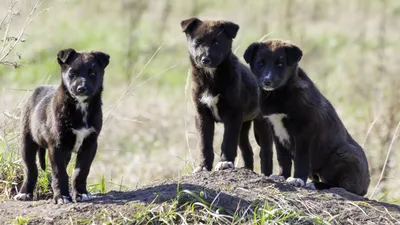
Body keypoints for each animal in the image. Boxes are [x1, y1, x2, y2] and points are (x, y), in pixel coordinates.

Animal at [14, 48, 109, 203]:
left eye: (93, 73)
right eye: (72, 73)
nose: (81, 88)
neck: (80, 106)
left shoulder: (90, 144)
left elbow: (81, 171)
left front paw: (81, 193)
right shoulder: (56, 145)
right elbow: (59, 173)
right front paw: (62, 197)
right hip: (26, 141)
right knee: (30, 169)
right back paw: (24, 193)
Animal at [181, 18, 276, 176]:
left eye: (216, 42)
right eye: (198, 42)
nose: (205, 59)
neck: (211, 76)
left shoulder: (233, 115)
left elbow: (228, 141)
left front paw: (225, 163)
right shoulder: (202, 114)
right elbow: (204, 144)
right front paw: (203, 166)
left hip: (261, 123)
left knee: (266, 151)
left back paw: (266, 174)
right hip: (243, 125)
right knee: (247, 150)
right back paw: (247, 170)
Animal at [244, 39, 372, 196]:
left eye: (280, 64)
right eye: (260, 63)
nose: (267, 81)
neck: (279, 94)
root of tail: (366, 185)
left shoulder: (305, 131)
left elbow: (301, 158)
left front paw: (297, 179)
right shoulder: (276, 130)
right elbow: (283, 158)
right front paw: (282, 176)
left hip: (346, 155)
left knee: (342, 186)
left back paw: (315, 184)